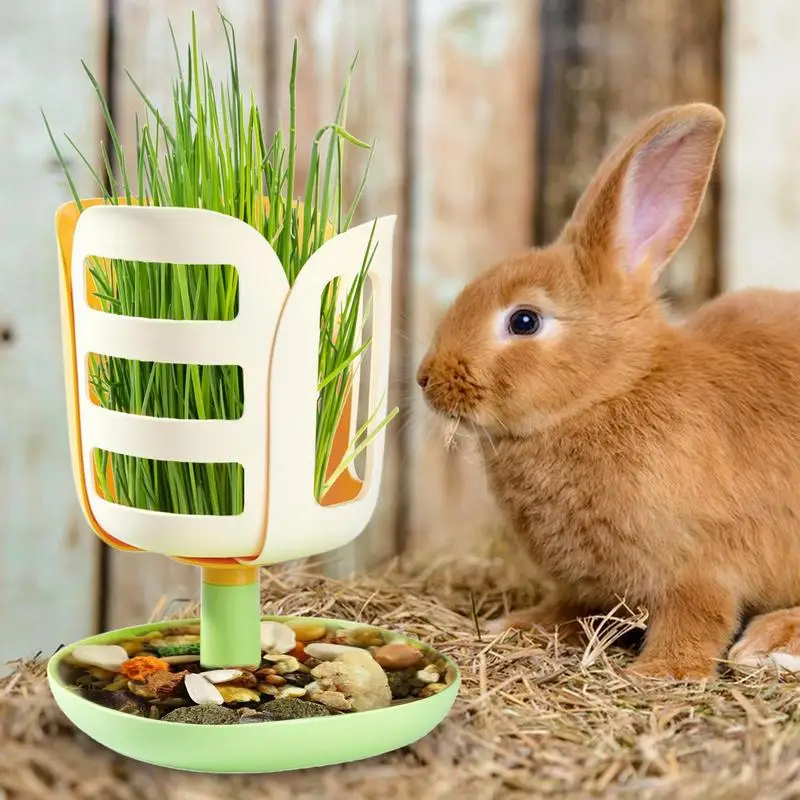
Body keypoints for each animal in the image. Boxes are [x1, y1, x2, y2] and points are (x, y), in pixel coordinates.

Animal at [416, 102, 800, 681]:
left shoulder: (699, 568)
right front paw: (519, 625)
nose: (427, 379)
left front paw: (662, 671)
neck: (613, 388)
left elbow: (698, 616)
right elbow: (572, 608)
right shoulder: (589, 587)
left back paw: (770, 644)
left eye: (524, 320)